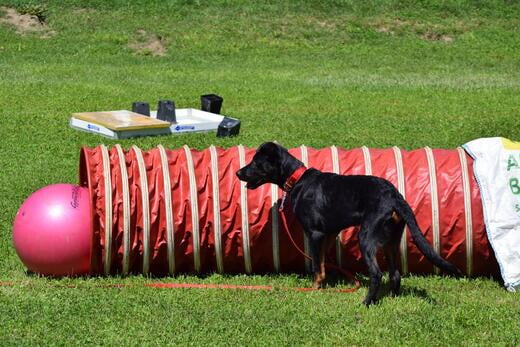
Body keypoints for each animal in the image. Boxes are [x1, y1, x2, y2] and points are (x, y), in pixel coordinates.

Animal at [238, 143, 462, 306]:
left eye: (256, 162)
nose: (238, 173)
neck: (297, 180)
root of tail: (395, 196)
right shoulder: (328, 234)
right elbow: (322, 264)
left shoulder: (315, 233)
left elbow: (316, 266)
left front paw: (314, 289)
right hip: (390, 241)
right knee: (395, 273)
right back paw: (391, 298)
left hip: (367, 236)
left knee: (377, 273)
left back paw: (366, 302)